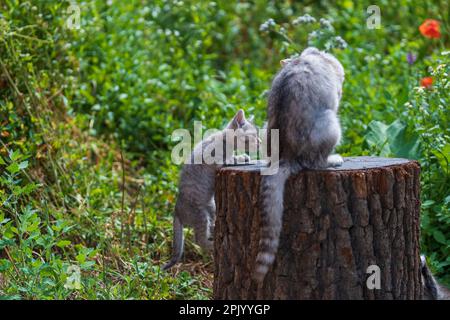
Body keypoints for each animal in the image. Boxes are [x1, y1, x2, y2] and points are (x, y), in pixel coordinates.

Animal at [163, 110, 258, 270]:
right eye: (254, 135)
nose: (260, 142)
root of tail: (176, 209)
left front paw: (242, 157)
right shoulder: (211, 157)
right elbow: (225, 161)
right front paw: (238, 158)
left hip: (211, 206)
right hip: (200, 215)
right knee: (199, 240)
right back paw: (212, 245)